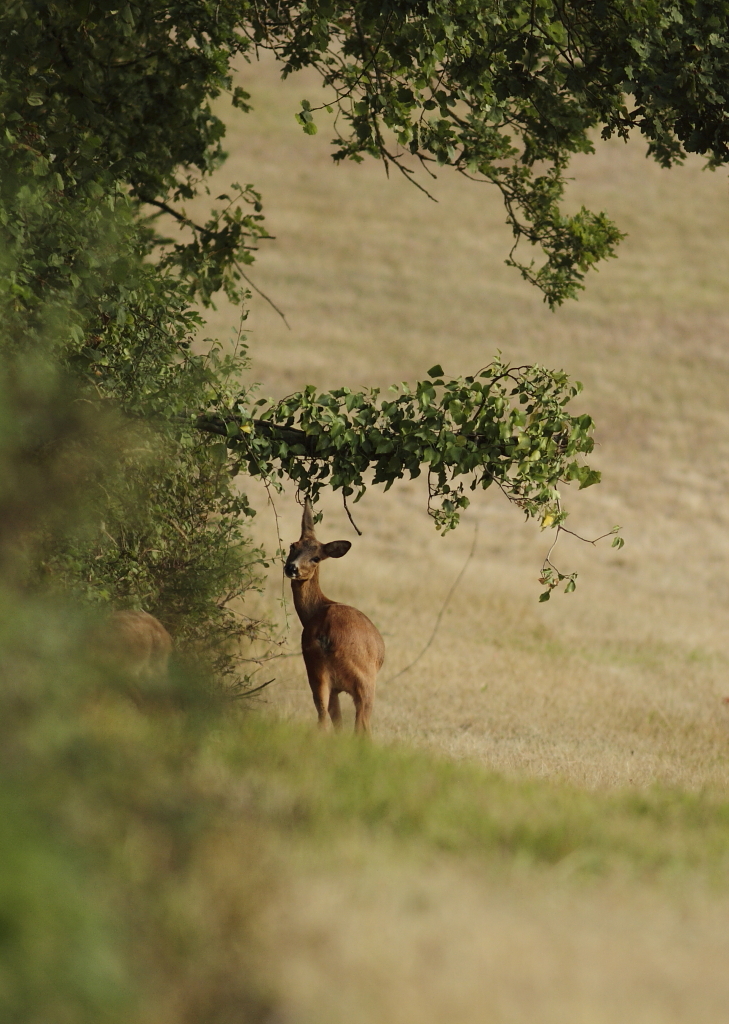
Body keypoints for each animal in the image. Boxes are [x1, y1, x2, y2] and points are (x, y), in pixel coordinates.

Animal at [286, 497, 387, 733]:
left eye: (316, 557)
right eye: (293, 546)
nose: (292, 568)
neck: (319, 607)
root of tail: (327, 632)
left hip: (316, 671)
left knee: (324, 719)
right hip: (364, 681)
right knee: (361, 728)